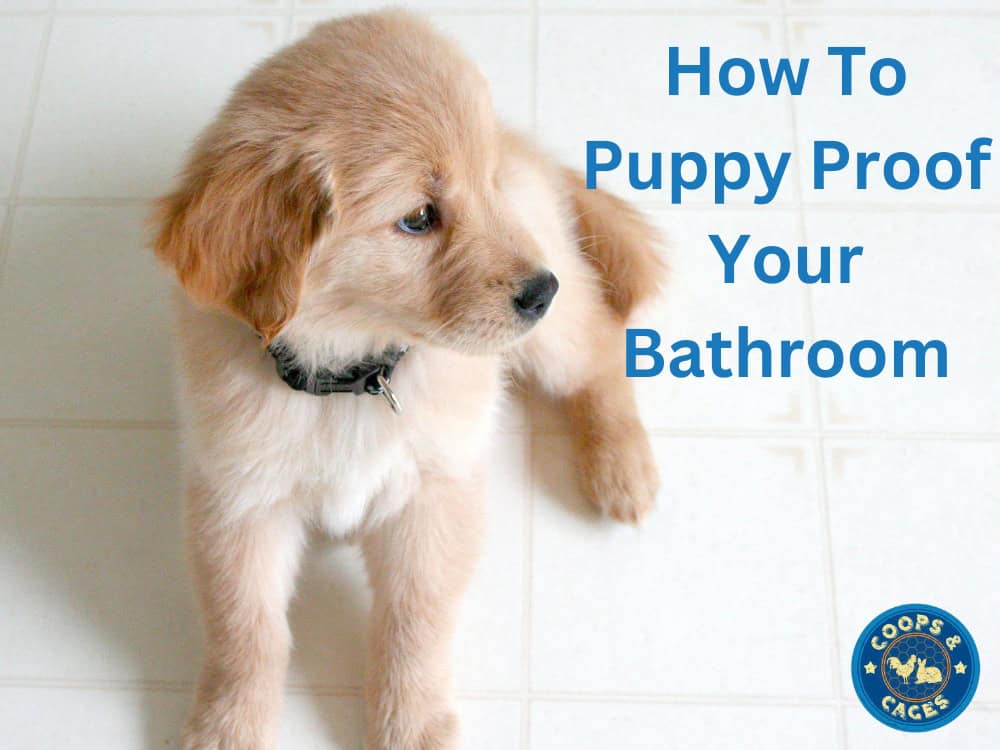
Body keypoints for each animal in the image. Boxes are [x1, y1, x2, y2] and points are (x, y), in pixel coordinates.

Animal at [150, 7, 664, 750]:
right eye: (419, 217)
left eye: (486, 183)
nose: (542, 291)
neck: (349, 376)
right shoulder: (238, 499)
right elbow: (245, 628)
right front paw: (230, 723)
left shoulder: (431, 496)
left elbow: (412, 622)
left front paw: (411, 722)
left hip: (553, 331)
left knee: (599, 352)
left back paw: (622, 468)